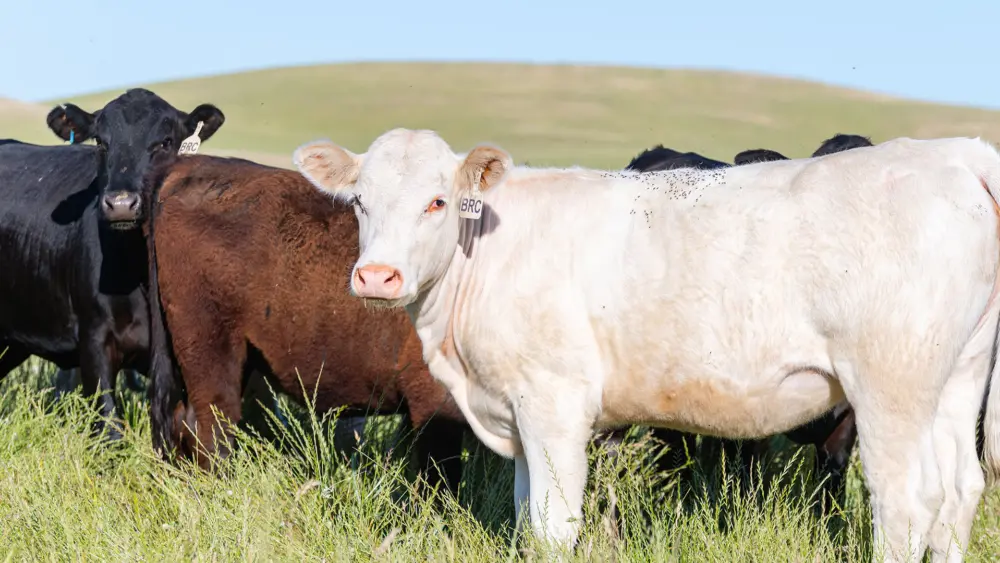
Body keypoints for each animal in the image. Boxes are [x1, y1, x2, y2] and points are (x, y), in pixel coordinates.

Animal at [294, 128, 1000, 563]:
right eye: (359, 201)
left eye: (438, 201)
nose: (377, 276)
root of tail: (955, 153)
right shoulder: (518, 414)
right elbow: (526, 519)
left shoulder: (553, 403)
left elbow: (552, 527)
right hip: (957, 376)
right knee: (960, 489)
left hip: (891, 383)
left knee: (907, 501)